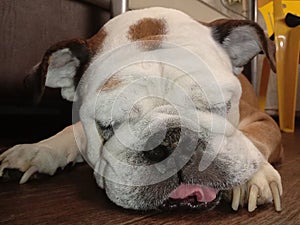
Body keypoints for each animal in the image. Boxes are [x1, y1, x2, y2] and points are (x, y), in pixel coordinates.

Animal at [0, 7, 282, 213]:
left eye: (219, 107)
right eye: (108, 125)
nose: (175, 139)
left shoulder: (263, 119)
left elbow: (253, 139)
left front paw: (253, 176)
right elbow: (73, 129)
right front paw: (38, 150)